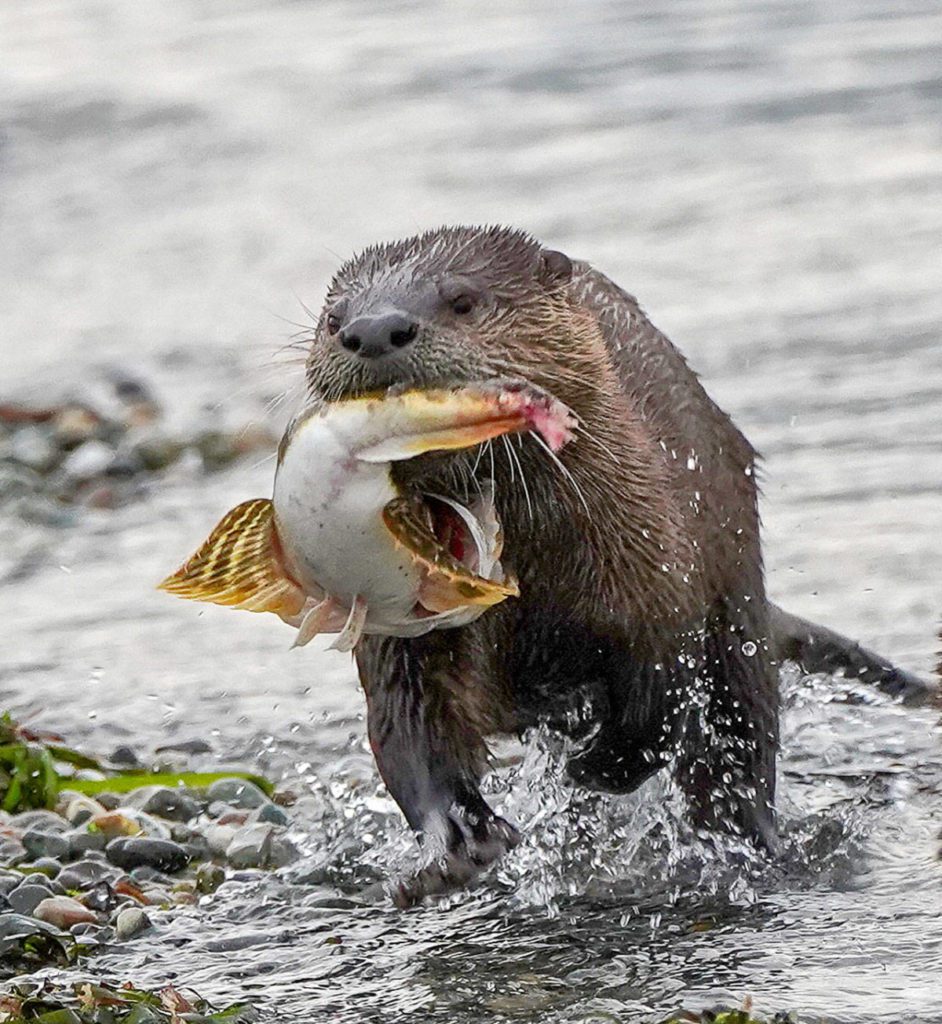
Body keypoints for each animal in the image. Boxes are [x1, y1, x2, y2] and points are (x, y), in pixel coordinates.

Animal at [301, 224, 925, 905]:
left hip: (739, 617)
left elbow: (657, 706)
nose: (374, 329)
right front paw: (454, 846)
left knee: (740, 751)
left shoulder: (659, 578)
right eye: (333, 320)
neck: (534, 581)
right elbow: (408, 732)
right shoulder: (399, 635)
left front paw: (594, 767)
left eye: (462, 300)